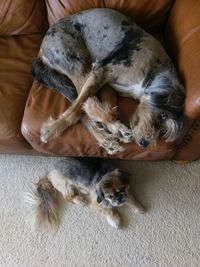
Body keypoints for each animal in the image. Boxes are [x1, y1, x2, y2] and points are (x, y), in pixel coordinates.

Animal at [31, 7, 186, 155]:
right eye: (163, 115)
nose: (145, 144)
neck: (154, 71)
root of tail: (42, 46)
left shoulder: (108, 84)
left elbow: (109, 108)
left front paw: (113, 125)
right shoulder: (102, 70)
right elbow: (79, 107)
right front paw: (52, 128)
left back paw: (110, 137)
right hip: (76, 61)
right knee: (82, 101)